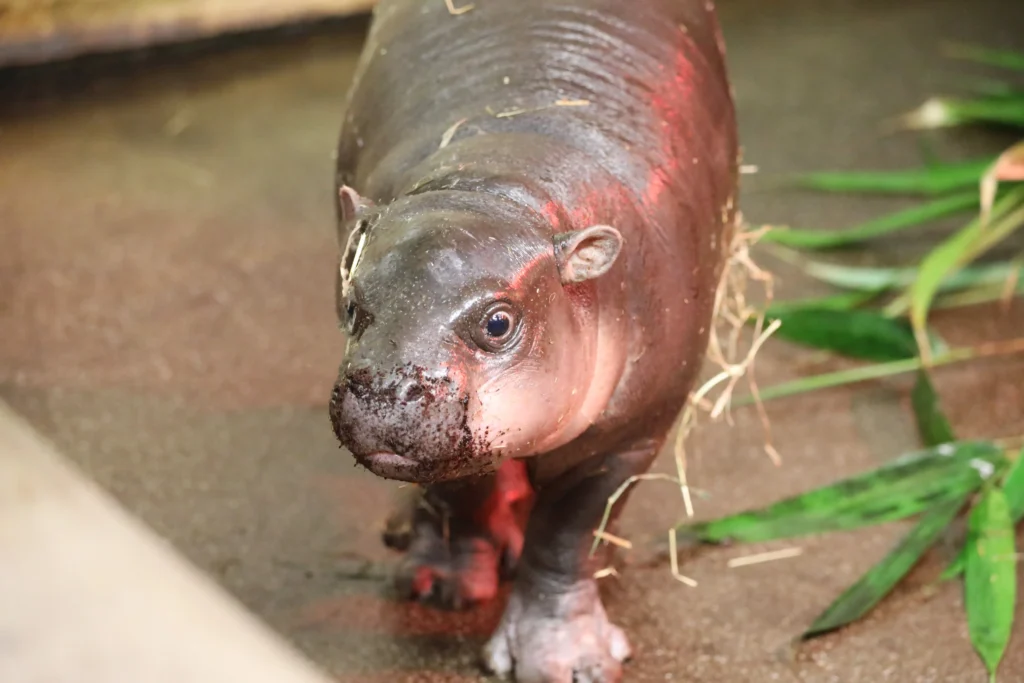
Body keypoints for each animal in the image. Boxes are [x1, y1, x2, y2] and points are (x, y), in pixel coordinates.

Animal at [327, 0, 738, 680]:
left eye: (498, 323)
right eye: (352, 304)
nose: (385, 392)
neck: (502, 183)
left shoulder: (631, 431)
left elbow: (569, 534)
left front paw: (567, 661)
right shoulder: (453, 447)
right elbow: (461, 492)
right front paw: (443, 588)